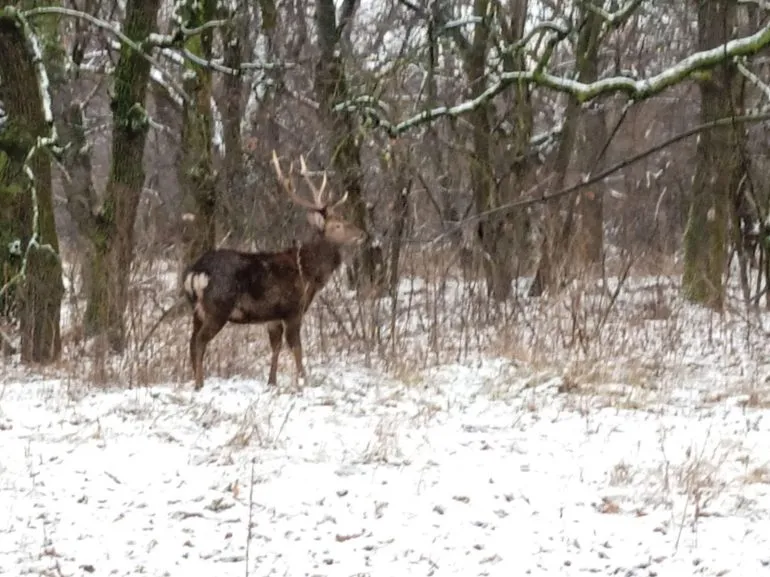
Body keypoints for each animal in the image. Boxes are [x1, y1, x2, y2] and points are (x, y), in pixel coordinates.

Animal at [182, 151, 366, 390]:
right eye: (337, 225)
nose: (362, 234)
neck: (308, 273)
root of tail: (195, 273)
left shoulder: (273, 316)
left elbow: (276, 347)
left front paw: (272, 382)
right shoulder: (293, 309)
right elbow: (296, 348)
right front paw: (303, 380)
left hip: (196, 310)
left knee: (191, 341)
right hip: (218, 307)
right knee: (200, 341)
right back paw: (199, 384)